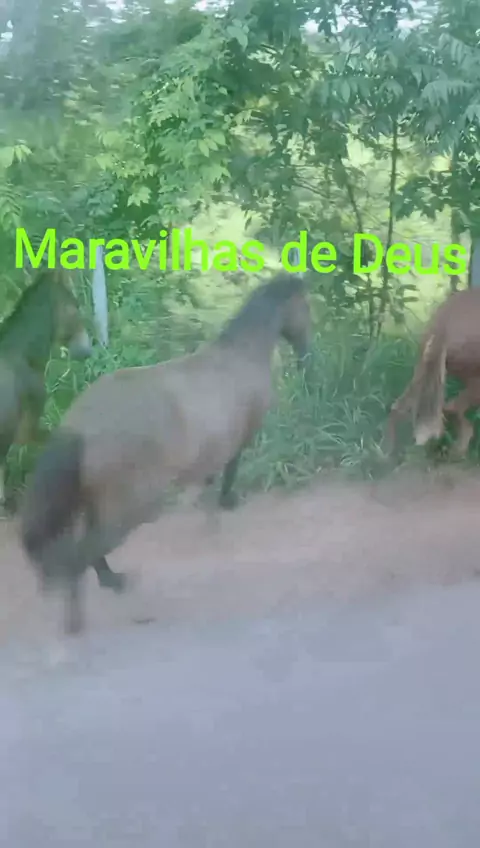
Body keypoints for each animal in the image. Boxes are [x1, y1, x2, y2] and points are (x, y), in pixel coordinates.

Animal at [19, 272, 312, 636]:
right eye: (306, 307)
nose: (306, 356)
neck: (242, 355)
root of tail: (79, 426)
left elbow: (211, 479)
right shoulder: (241, 438)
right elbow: (230, 470)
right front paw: (226, 502)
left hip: (97, 505)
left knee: (87, 552)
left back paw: (113, 583)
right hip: (129, 509)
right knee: (82, 555)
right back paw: (87, 617)